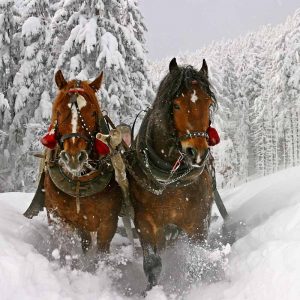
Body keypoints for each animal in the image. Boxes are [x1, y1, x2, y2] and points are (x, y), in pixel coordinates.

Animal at [42, 71, 123, 255]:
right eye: (58, 112)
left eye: (93, 113)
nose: (73, 156)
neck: (80, 182)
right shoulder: (58, 217)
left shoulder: (108, 222)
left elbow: (102, 252)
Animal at [127, 57, 218, 290]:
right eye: (176, 105)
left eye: (208, 104)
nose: (197, 152)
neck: (170, 180)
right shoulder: (146, 222)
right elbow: (152, 264)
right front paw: (152, 290)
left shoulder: (198, 222)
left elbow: (196, 258)